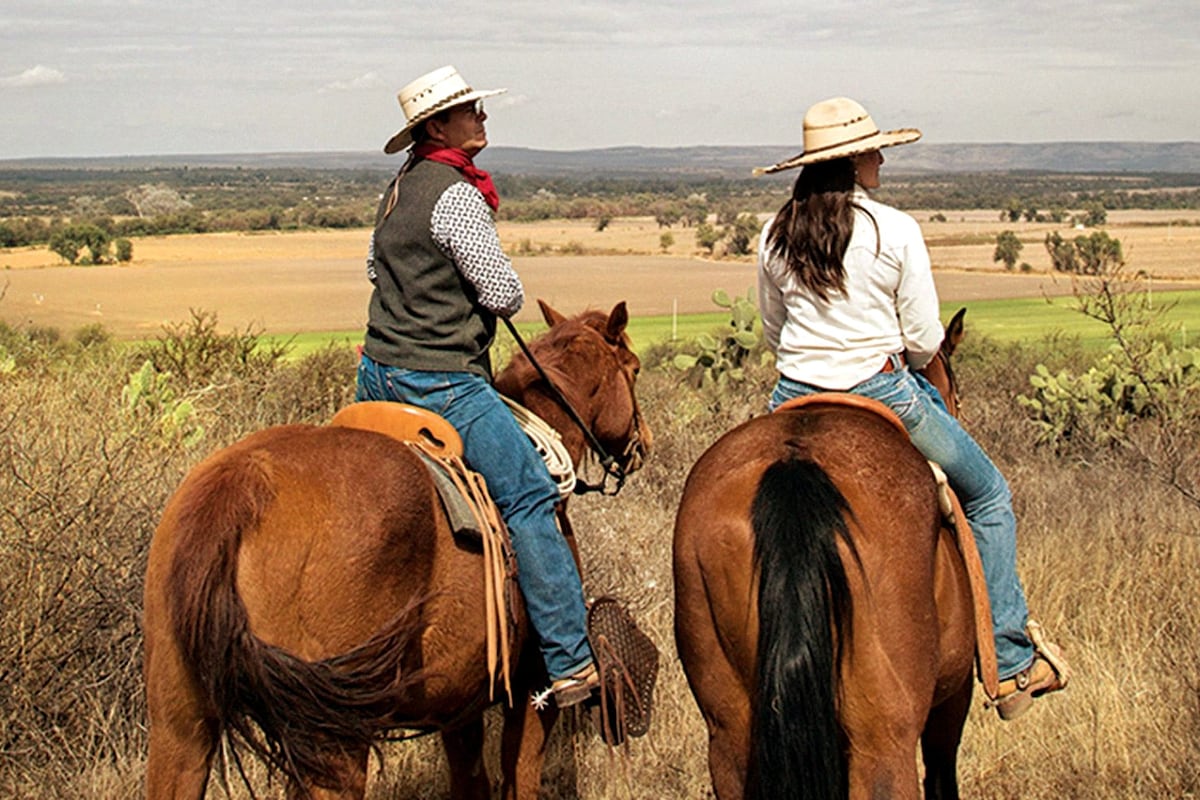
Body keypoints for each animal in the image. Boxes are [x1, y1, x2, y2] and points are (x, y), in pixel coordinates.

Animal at [144, 302, 652, 800]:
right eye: (634, 368)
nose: (641, 444)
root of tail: (243, 484)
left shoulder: (458, 704)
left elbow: (471, 784)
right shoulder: (533, 691)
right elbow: (520, 781)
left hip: (180, 724)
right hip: (334, 740)